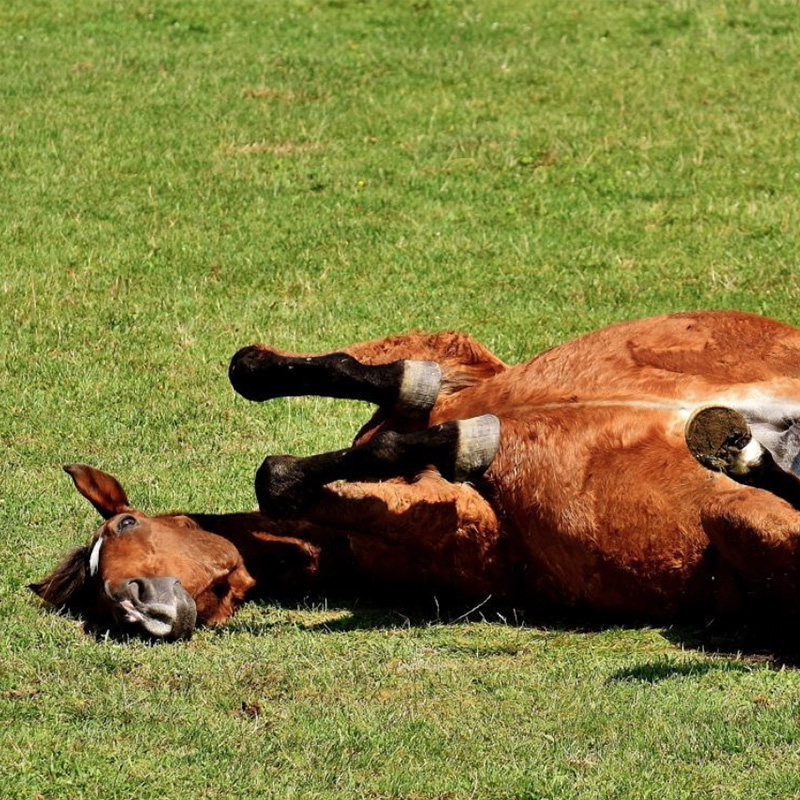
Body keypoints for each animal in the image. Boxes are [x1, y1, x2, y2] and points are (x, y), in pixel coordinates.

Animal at [29, 310, 800, 640]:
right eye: (101, 608)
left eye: (126, 524)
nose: (138, 608)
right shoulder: (471, 529)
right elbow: (291, 471)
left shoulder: (463, 365)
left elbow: (265, 384)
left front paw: (435, 418)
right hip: (746, 520)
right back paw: (741, 446)